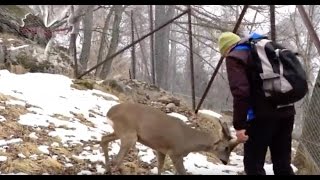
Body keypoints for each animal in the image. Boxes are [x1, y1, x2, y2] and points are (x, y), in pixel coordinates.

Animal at [100, 102, 240, 174]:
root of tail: (109, 113)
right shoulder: (175, 153)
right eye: (226, 147)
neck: (188, 140)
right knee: (116, 160)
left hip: (119, 132)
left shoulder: (161, 150)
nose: (225, 161)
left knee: (103, 139)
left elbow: (160, 167)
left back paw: (107, 169)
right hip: (129, 136)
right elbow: (182, 172)